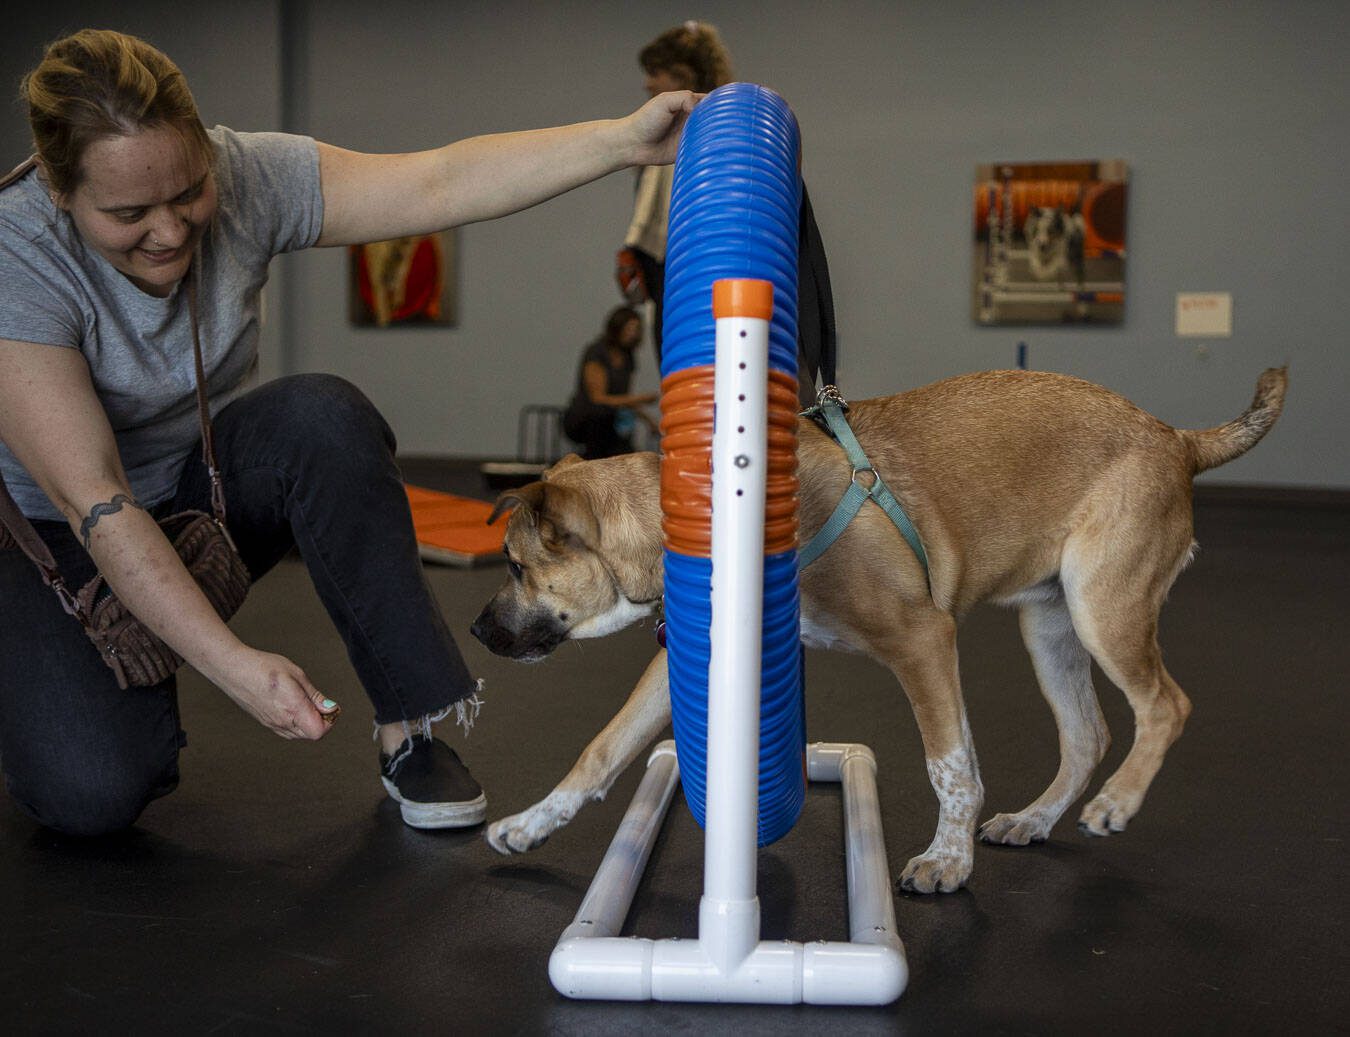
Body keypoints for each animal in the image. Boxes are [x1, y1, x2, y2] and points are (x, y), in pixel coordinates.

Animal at [472, 367, 1285, 896]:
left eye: (514, 566)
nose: (477, 629)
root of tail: (1175, 438)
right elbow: (602, 747)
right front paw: (533, 823)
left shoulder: (923, 639)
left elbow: (949, 765)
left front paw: (947, 861)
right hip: (1051, 626)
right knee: (1088, 734)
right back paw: (1034, 818)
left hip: (1102, 606)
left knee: (1165, 706)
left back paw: (1119, 800)